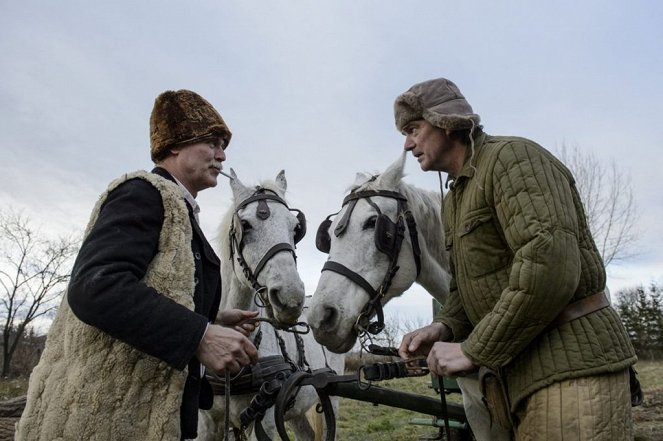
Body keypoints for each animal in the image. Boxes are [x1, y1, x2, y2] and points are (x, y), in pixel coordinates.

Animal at [197, 169, 344, 440]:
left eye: (295, 228)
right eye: (245, 225)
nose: (290, 298)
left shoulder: (262, 424)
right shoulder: (205, 424)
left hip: (332, 400)